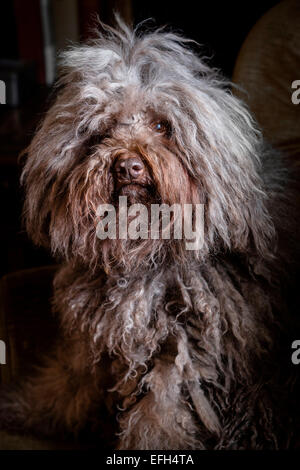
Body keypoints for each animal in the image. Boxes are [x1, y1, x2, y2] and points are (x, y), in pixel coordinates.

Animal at [0, 19, 300, 452]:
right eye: (102, 130)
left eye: (162, 126)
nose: (128, 166)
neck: (143, 251)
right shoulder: (99, 340)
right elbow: (71, 383)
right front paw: (31, 410)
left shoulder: (180, 352)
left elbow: (156, 417)